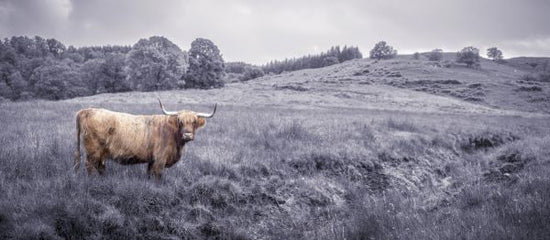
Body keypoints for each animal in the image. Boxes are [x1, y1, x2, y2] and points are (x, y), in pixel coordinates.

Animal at [74, 98, 217, 179]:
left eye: (194, 122)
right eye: (180, 121)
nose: (187, 135)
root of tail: (86, 110)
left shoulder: (152, 159)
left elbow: (148, 173)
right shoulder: (160, 159)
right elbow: (158, 176)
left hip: (101, 153)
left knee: (100, 166)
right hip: (93, 150)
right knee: (90, 166)